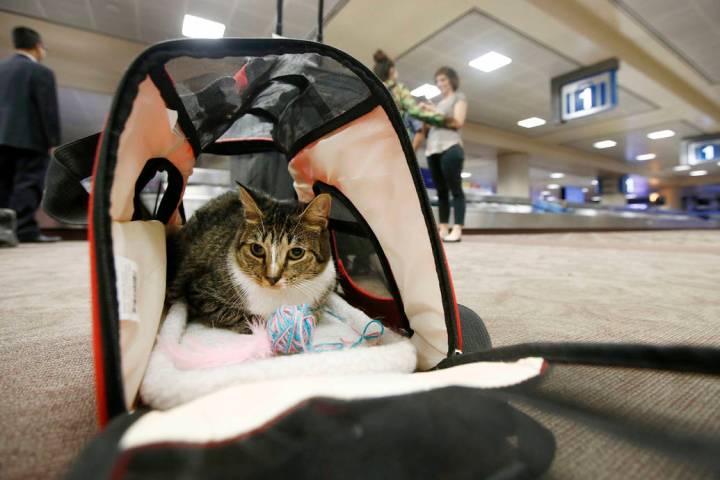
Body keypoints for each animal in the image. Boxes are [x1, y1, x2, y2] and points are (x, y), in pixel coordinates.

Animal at [167, 186, 336, 332]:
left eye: (296, 252)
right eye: (257, 249)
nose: (272, 278)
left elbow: (316, 313)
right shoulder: (199, 292)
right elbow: (238, 315)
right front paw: (260, 326)